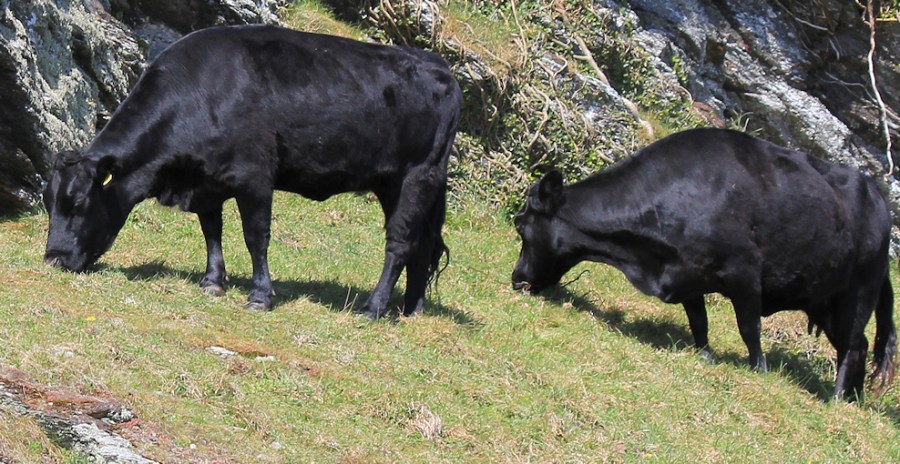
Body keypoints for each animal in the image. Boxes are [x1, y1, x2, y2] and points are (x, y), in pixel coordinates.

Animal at [42, 25, 462, 320]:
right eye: (48, 202)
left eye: (78, 202)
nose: (53, 260)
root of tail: (441, 67)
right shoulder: (206, 180)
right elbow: (211, 230)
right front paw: (213, 281)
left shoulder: (254, 176)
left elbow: (255, 237)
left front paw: (260, 295)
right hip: (395, 185)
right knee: (422, 242)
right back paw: (411, 309)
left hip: (416, 177)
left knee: (400, 243)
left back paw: (373, 308)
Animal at [511, 128, 896, 400]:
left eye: (520, 225)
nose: (516, 278)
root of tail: (879, 198)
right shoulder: (687, 274)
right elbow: (699, 322)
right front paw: (705, 356)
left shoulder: (744, 272)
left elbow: (749, 328)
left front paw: (759, 369)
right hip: (824, 301)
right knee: (859, 346)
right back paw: (852, 398)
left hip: (858, 293)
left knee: (852, 347)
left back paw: (835, 397)